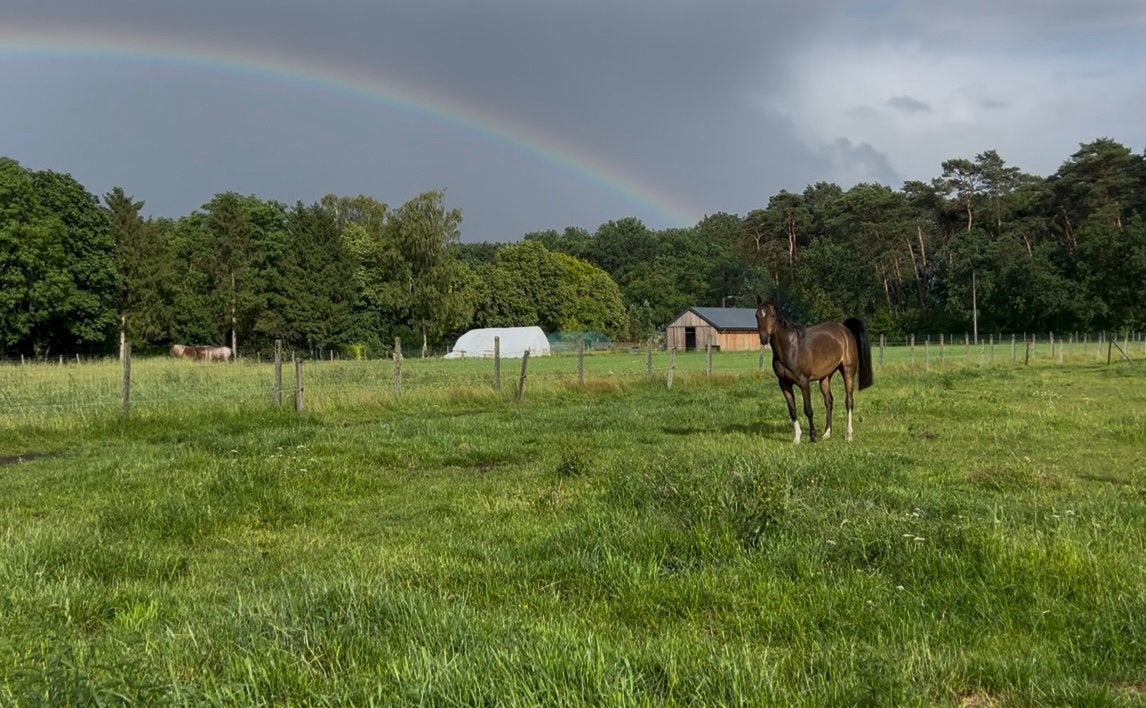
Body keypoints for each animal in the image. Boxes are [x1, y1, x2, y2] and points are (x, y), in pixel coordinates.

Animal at [755, 295, 873, 443]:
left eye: (772, 315)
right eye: (757, 315)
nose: (764, 338)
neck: (790, 349)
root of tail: (845, 330)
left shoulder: (804, 382)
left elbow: (808, 409)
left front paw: (812, 437)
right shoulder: (784, 384)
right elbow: (792, 410)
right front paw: (797, 438)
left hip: (847, 371)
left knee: (849, 401)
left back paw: (849, 435)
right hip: (825, 377)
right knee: (829, 401)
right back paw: (827, 433)